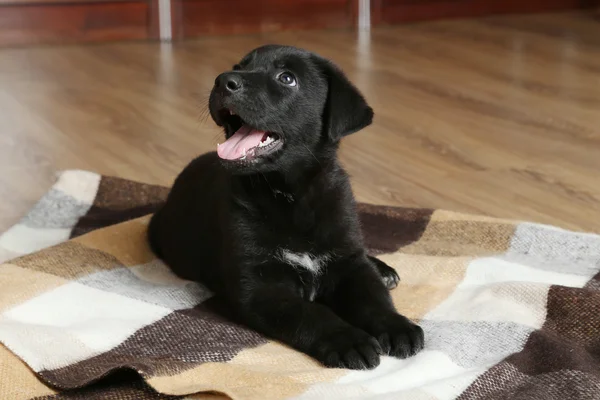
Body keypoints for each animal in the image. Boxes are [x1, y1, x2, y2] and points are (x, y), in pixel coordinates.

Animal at [148, 45, 424, 370]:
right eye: (239, 67)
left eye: (287, 78)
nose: (222, 80)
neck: (290, 195)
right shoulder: (261, 286)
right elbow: (312, 314)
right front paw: (349, 340)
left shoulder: (350, 263)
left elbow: (373, 298)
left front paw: (396, 325)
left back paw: (382, 269)